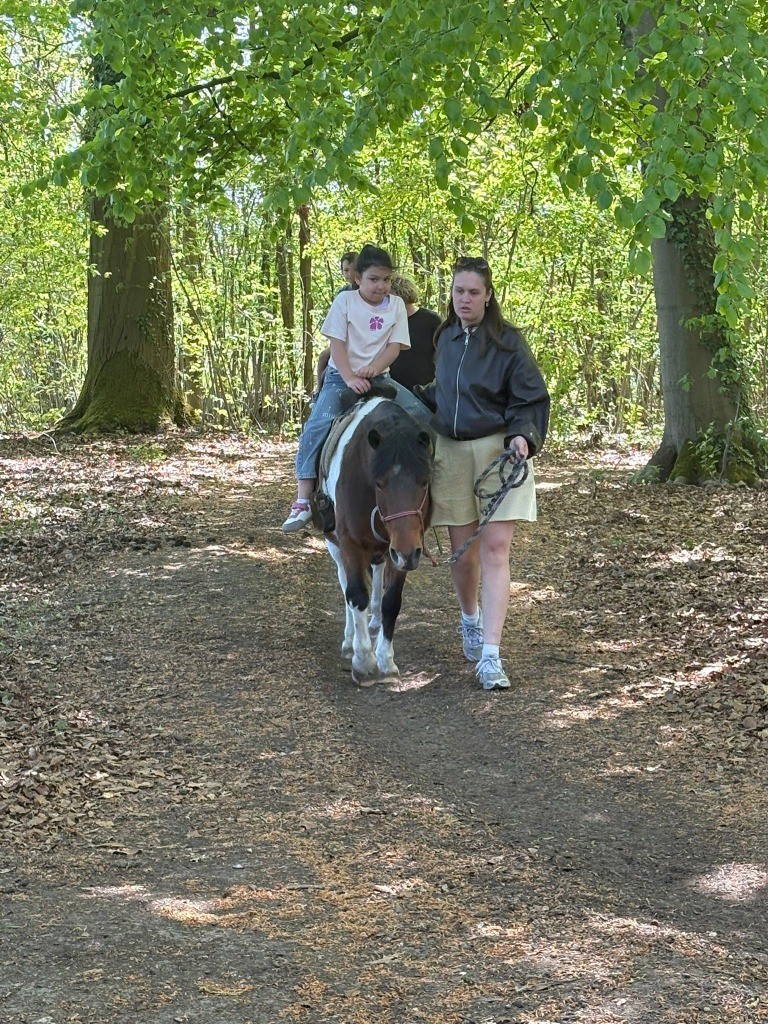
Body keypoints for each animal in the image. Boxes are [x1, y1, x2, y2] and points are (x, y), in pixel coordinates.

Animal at [320, 396, 433, 685]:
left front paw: (386, 660)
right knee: (345, 583)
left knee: (378, 570)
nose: (408, 553)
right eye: (380, 483)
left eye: (424, 481)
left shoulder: (403, 550)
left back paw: (375, 620)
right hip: (337, 545)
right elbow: (355, 595)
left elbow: (392, 601)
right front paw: (363, 661)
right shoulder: (350, 544)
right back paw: (350, 639)